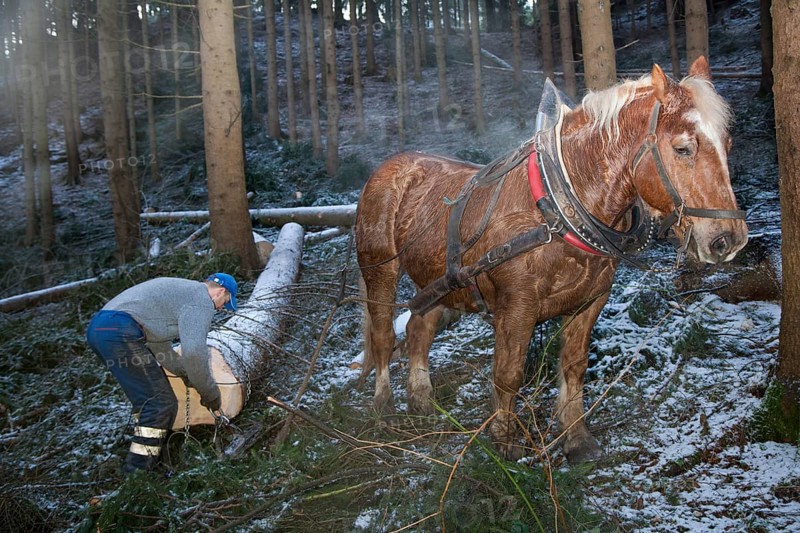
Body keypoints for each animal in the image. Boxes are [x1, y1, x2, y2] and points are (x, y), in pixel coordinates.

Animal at [354, 57, 748, 463]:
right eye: (683, 148)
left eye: (728, 143)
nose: (728, 240)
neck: (558, 207)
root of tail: (390, 167)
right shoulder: (517, 307)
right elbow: (509, 374)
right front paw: (504, 442)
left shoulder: (591, 302)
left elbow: (574, 367)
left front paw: (576, 438)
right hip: (379, 268)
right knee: (384, 336)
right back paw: (384, 408)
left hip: (440, 281)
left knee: (419, 327)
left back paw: (421, 401)